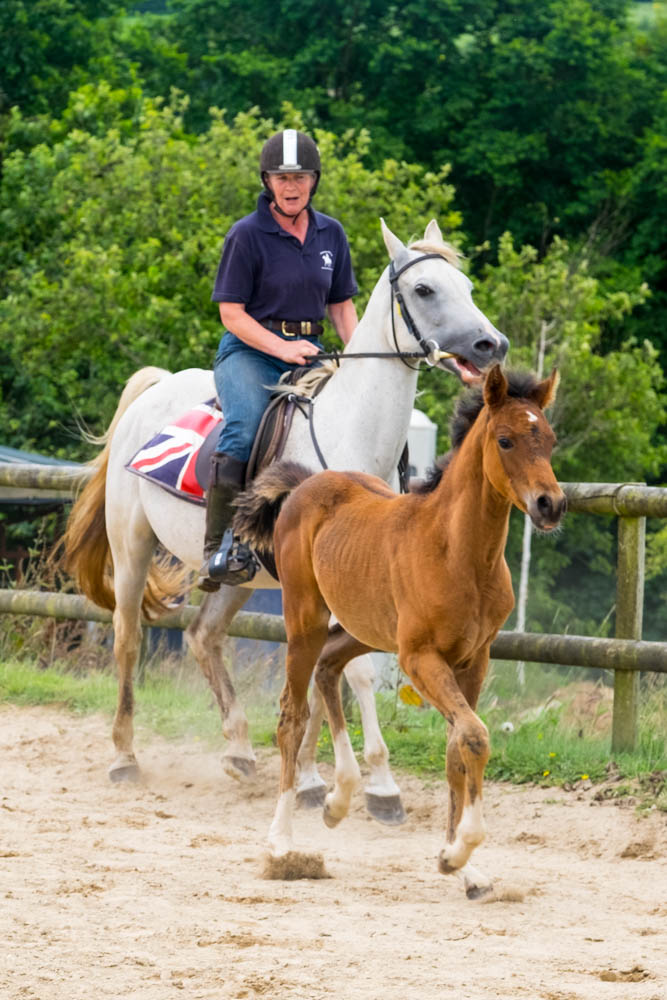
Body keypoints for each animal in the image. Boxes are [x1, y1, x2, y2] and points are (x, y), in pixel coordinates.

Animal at [65, 219, 508, 820]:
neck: (351, 439)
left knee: (203, 636)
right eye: (424, 290)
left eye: (466, 285)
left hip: (238, 577)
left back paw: (238, 750)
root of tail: (154, 389)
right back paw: (124, 759)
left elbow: (329, 673)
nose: (492, 344)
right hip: (130, 548)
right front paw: (378, 785)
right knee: (127, 639)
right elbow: (355, 672)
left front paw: (311, 778)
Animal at [232, 364, 568, 896]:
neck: (458, 553)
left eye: (550, 440)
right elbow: (475, 737)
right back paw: (282, 843)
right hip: (305, 617)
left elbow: (458, 747)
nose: (550, 504)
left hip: (366, 626)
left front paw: (460, 865)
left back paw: (339, 799)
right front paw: (460, 849)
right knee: (292, 714)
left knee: (330, 666)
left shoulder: (475, 659)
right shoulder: (420, 658)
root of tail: (306, 483)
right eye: (506, 439)